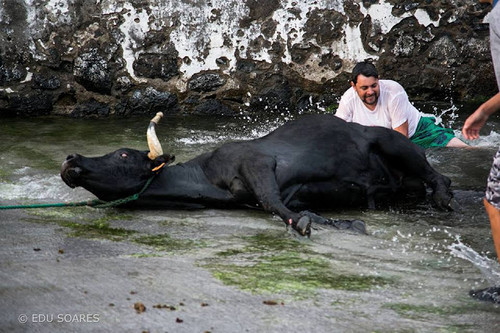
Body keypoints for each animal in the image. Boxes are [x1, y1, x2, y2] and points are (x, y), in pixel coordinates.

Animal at [60, 115, 456, 235]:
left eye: (123, 153)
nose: (71, 158)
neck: (207, 178)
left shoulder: (257, 162)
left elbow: (271, 201)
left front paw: (302, 222)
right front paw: (323, 220)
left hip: (389, 141)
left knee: (438, 176)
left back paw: (442, 198)